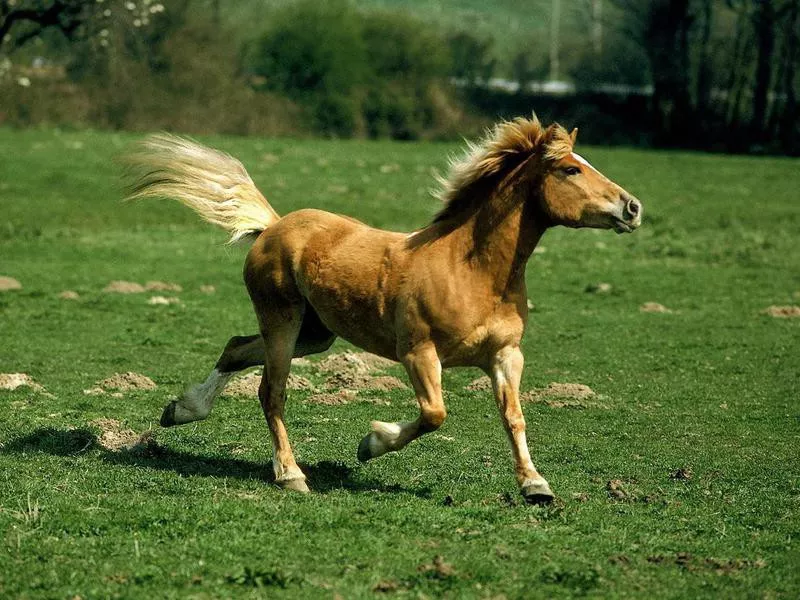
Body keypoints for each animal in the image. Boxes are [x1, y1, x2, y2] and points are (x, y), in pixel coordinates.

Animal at [128, 116, 648, 502]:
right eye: (571, 170)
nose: (632, 207)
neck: (472, 271)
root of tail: (274, 226)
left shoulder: (505, 355)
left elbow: (514, 417)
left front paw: (535, 485)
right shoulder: (418, 352)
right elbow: (435, 414)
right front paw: (371, 443)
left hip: (316, 334)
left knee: (236, 349)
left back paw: (182, 410)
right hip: (282, 322)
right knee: (270, 392)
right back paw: (291, 475)